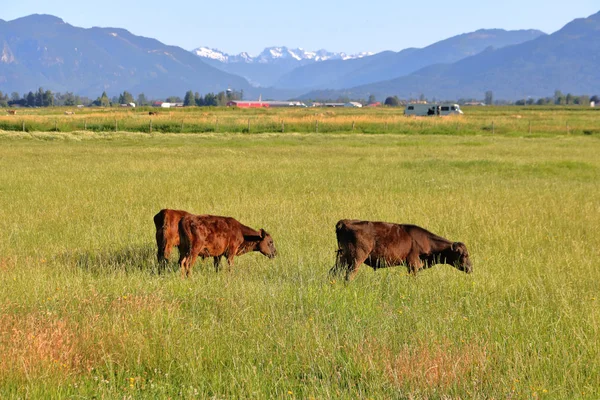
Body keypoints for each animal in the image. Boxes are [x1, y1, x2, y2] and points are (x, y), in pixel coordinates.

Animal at [330, 219, 472, 282]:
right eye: (464, 255)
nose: (471, 268)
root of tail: (345, 222)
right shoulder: (413, 265)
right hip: (356, 259)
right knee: (349, 275)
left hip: (343, 258)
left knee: (333, 272)